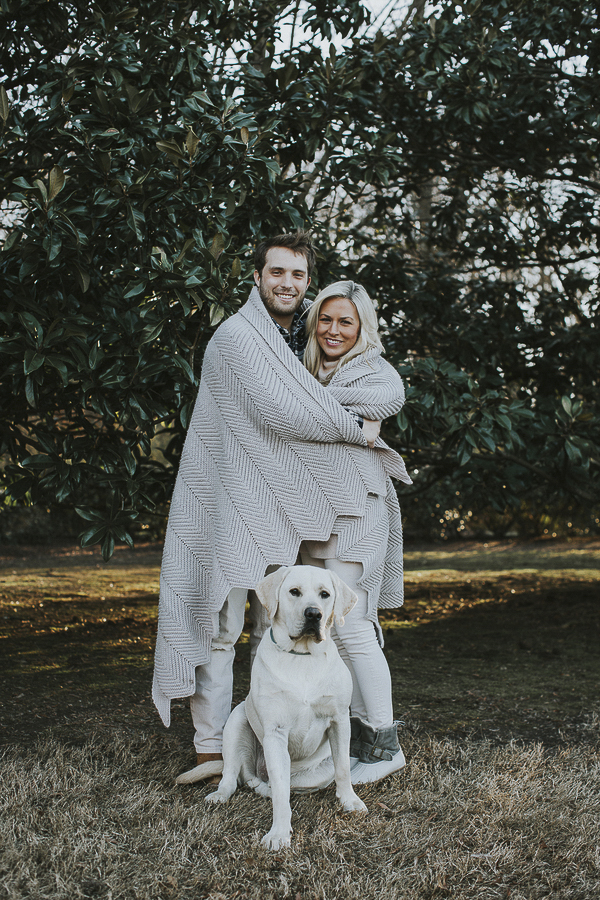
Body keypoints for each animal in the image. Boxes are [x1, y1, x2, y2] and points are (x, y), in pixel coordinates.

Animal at [176, 568, 368, 848]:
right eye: (294, 592)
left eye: (325, 594)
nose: (314, 614)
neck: (302, 655)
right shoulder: (276, 732)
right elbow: (279, 790)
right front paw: (278, 833)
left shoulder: (339, 720)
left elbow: (343, 769)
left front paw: (350, 801)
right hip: (237, 721)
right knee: (235, 776)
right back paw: (221, 794)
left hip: (318, 773)